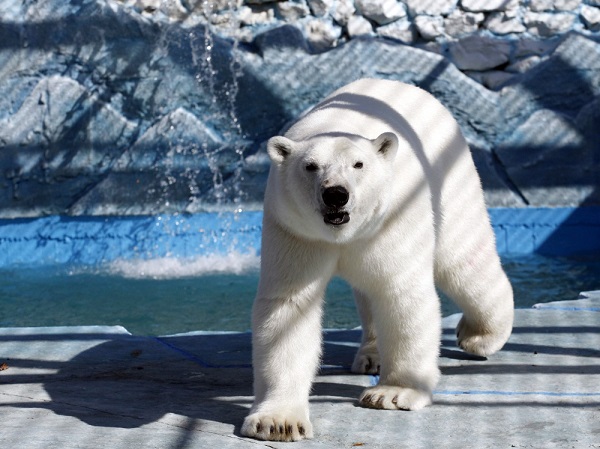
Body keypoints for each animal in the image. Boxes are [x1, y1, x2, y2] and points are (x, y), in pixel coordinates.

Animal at [241, 78, 512, 440]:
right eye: (310, 166)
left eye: (359, 165)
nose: (335, 194)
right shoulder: (295, 230)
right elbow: (289, 306)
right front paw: (278, 422)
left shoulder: (393, 217)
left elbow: (400, 292)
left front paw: (393, 393)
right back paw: (370, 356)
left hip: (450, 176)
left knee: (461, 258)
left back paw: (479, 336)